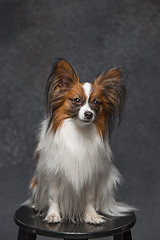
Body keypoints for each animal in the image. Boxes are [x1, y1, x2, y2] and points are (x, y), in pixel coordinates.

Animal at [29, 58, 133, 225]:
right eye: (77, 100)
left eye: (96, 102)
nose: (89, 114)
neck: (79, 131)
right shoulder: (54, 173)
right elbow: (53, 196)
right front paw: (53, 215)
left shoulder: (90, 175)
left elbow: (89, 198)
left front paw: (91, 215)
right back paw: (38, 205)